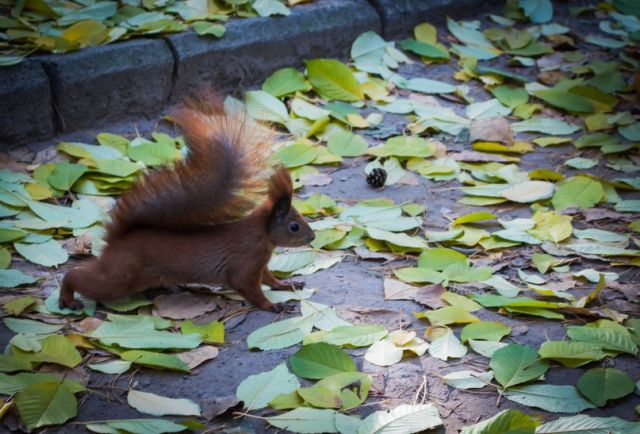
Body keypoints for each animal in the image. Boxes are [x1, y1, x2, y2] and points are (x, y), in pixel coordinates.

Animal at [60, 94, 316, 312]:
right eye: (294, 226)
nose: (312, 237)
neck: (261, 232)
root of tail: (118, 240)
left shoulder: (260, 264)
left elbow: (269, 278)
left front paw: (285, 285)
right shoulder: (247, 260)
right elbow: (247, 286)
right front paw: (273, 305)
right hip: (121, 275)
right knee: (81, 277)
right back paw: (67, 298)